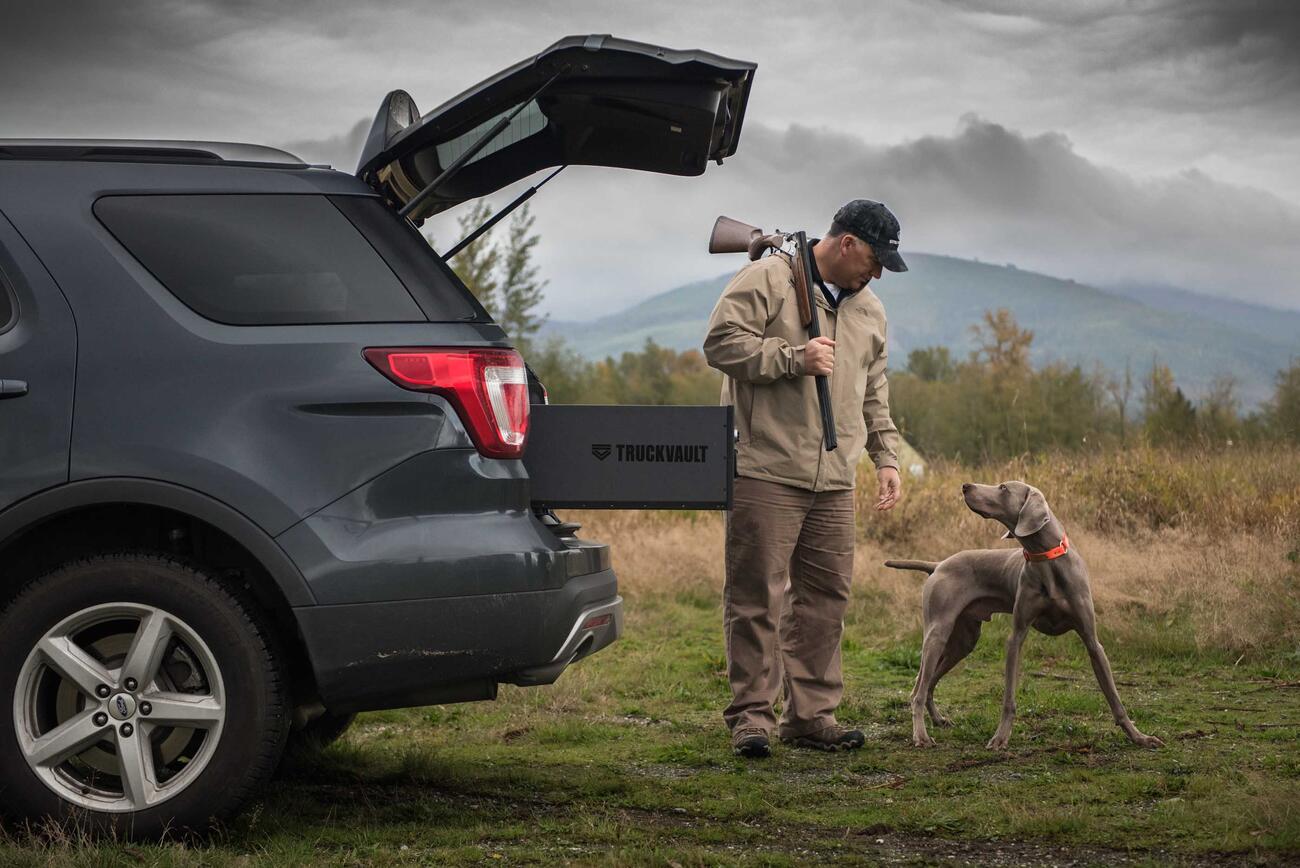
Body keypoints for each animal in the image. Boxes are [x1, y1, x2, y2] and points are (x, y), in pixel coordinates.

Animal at [889, 480, 1164, 753]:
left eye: (1003, 487)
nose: (965, 485)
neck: (1048, 560)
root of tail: (938, 565)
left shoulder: (1092, 641)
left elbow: (1114, 697)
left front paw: (1139, 737)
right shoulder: (1016, 636)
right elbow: (1009, 698)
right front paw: (1000, 738)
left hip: (963, 641)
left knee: (927, 682)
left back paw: (938, 720)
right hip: (938, 633)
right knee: (918, 690)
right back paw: (921, 735)